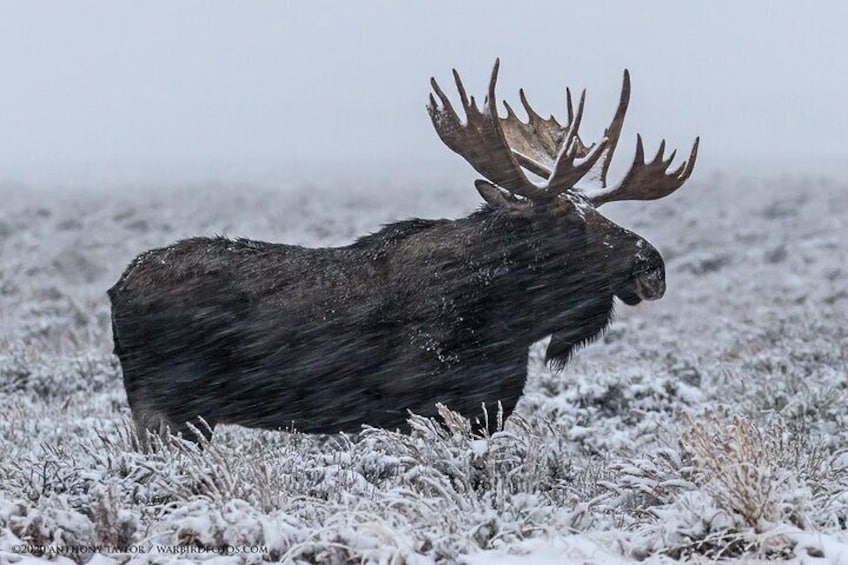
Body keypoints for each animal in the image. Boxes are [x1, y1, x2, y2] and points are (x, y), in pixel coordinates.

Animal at [109, 60, 700, 440]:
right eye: (569, 224)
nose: (653, 265)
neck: (512, 323)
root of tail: (117, 287)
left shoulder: (489, 408)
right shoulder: (424, 406)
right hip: (166, 410)